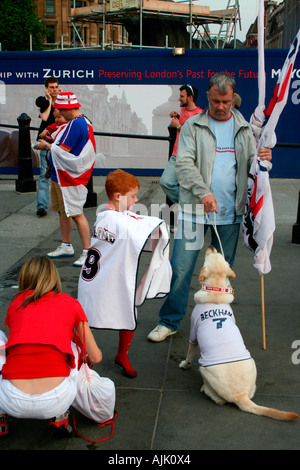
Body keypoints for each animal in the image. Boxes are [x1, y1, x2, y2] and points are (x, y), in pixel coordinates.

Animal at [179, 246, 298, 422]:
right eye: (220, 256)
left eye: (214, 255)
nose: (212, 246)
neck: (216, 293)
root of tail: (240, 395)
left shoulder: (194, 332)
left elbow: (189, 353)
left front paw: (184, 365)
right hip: (252, 365)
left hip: (204, 369)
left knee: (218, 399)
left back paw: (204, 389)